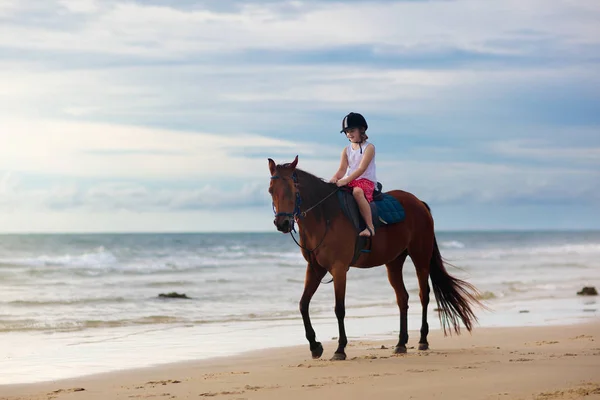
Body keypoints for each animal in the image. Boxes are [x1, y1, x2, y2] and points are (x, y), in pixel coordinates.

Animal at [268, 155, 482, 360]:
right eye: (271, 190)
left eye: (292, 189)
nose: (282, 223)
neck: (326, 216)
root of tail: (419, 203)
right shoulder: (315, 268)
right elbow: (303, 304)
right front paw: (315, 346)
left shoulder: (339, 269)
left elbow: (339, 309)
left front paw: (340, 349)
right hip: (394, 262)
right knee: (402, 298)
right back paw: (401, 343)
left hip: (420, 257)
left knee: (424, 295)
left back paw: (422, 340)